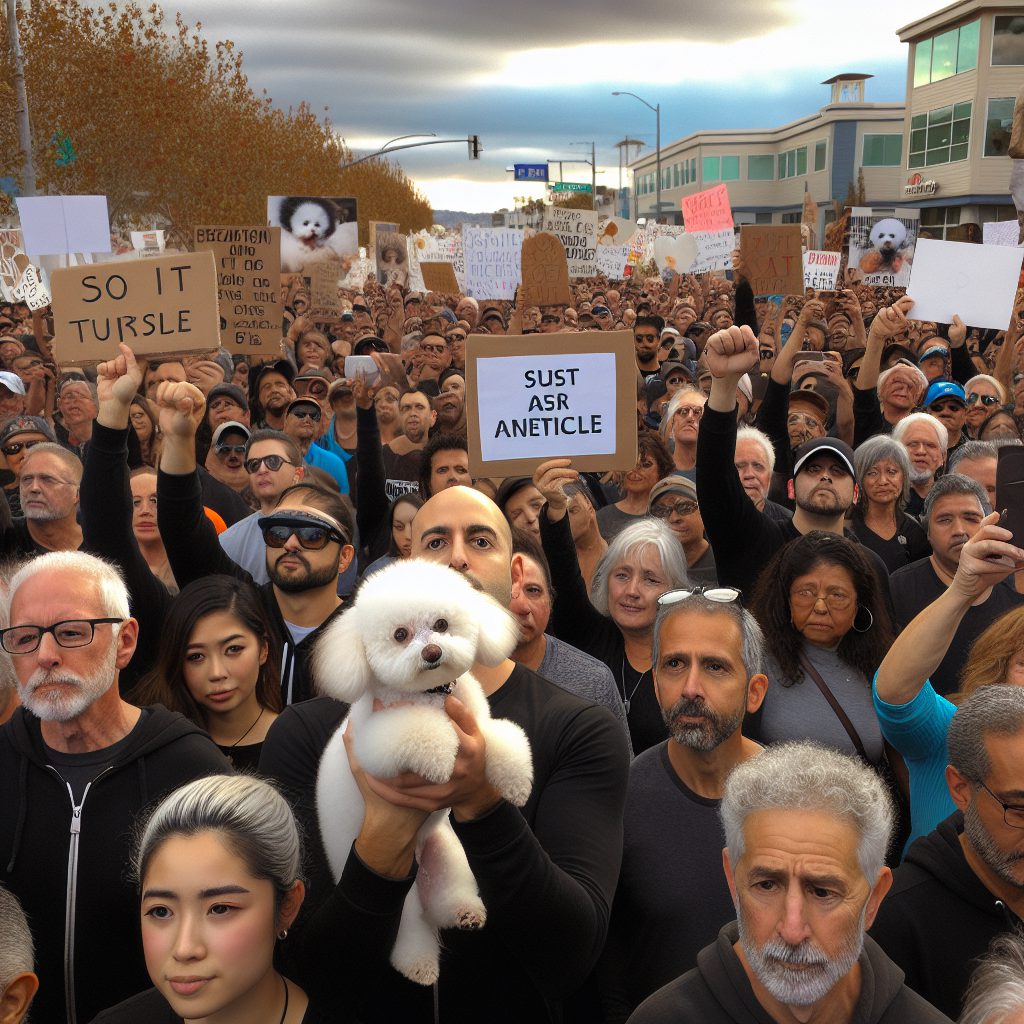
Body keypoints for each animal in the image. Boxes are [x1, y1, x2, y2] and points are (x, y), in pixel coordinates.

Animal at [311, 561, 536, 983]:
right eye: (400, 635)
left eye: (442, 624)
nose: (432, 652)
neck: (431, 695)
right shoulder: (374, 741)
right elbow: (418, 731)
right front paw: (442, 756)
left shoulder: (476, 722)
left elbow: (499, 737)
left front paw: (515, 779)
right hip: (398, 889)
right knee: (411, 925)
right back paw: (419, 964)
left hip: (445, 852)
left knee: (446, 896)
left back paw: (464, 912)